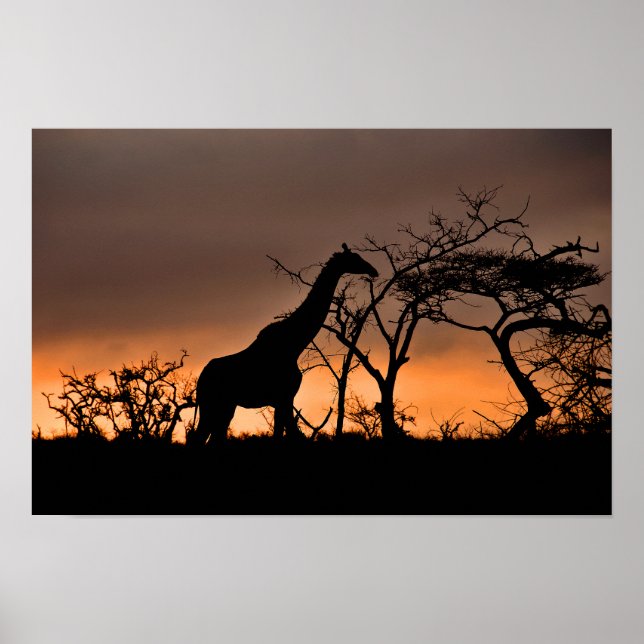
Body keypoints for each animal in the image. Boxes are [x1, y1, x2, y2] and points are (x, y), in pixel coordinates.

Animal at [188, 244, 378, 446]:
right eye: (355, 258)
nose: (373, 270)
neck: (294, 345)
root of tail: (201, 377)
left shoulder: (284, 400)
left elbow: (281, 434)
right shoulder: (284, 398)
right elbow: (289, 434)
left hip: (225, 406)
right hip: (212, 404)